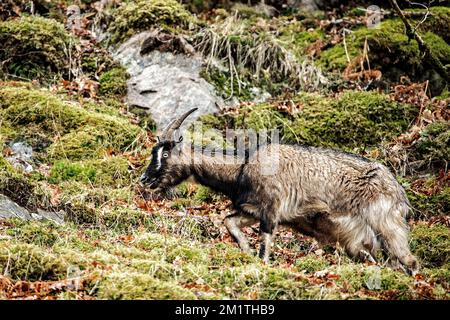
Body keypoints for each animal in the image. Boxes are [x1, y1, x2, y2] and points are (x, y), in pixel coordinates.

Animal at [141, 108, 418, 272]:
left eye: (165, 153)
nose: (145, 178)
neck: (243, 167)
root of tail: (399, 193)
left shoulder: (271, 210)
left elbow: (265, 243)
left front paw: (260, 262)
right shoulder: (251, 210)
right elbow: (229, 222)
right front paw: (246, 250)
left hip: (386, 224)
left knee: (410, 261)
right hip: (357, 241)